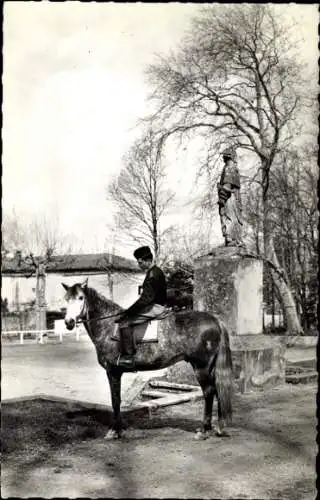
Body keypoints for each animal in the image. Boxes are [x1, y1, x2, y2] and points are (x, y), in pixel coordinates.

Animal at [62, 280, 232, 440]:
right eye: (66, 299)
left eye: (81, 298)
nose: (69, 322)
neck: (108, 326)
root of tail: (215, 320)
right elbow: (116, 400)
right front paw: (119, 429)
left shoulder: (113, 371)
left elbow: (115, 400)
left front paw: (114, 431)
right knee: (215, 390)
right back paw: (217, 427)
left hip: (201, 367)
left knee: (208, 391)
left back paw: (204, 430)